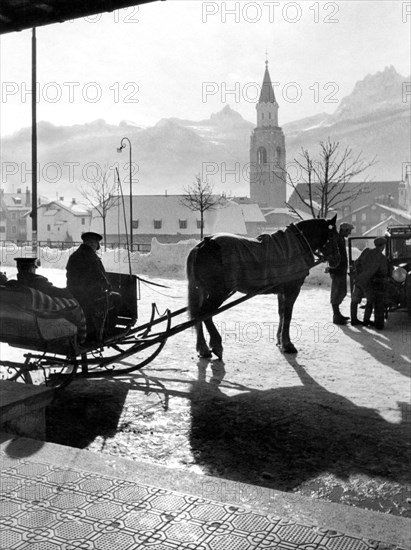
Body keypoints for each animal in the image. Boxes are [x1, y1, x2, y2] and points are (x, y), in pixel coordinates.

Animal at [187, 216, 342, 358]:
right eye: (334, 236)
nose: (337, 259)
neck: (298, 243)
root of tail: (202, 244)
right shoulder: (292, 289)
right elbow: (288, 315)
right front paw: (287, 344)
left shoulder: (282, 291)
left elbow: (281, 313)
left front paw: (280, 340)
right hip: (219, 292)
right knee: (204, 314)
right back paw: (215, 344)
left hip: (206, 291)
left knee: (199, 315)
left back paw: (203, 347)